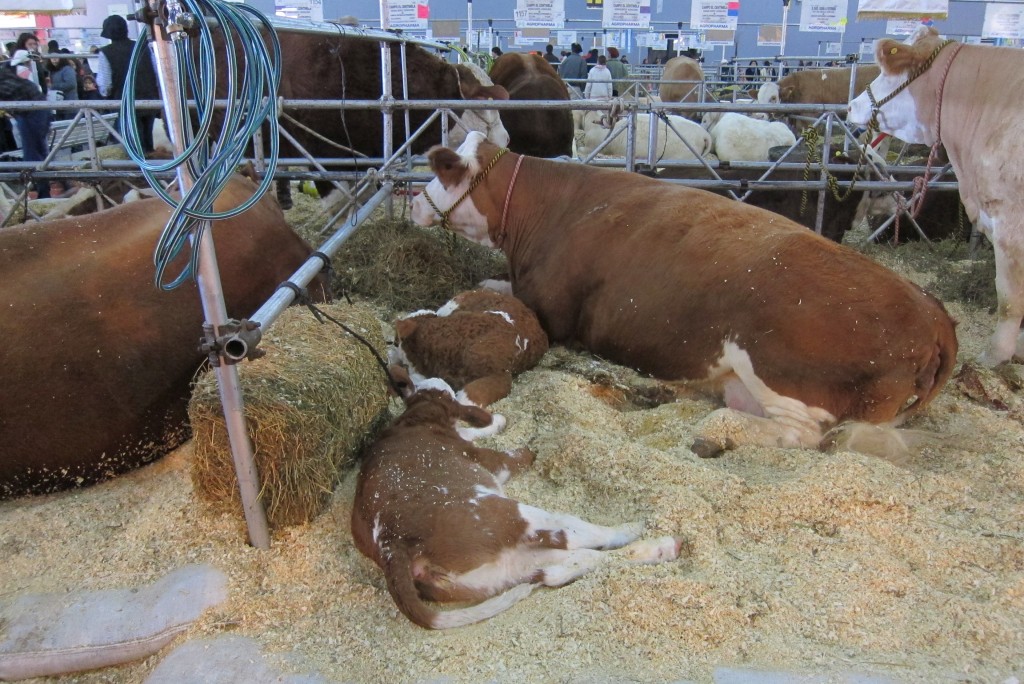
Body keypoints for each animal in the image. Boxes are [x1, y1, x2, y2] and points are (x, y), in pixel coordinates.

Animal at [350, 382, 679, 626]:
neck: (416, 419)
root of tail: (392, 543)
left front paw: (500, 422)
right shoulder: (486, 458)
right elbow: (510, 454)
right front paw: (526, 445)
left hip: (497, 571)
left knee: (564, 567)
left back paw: (661, 548)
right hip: (511, 516)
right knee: (575, 536)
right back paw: (638, 531)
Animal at [409, 132, 958, 454]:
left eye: (437, 172)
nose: (412, 203)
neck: (548, 208)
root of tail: (931, 314)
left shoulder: (550, 311)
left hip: (780, 370)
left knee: (797, 433)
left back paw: (715, 427)